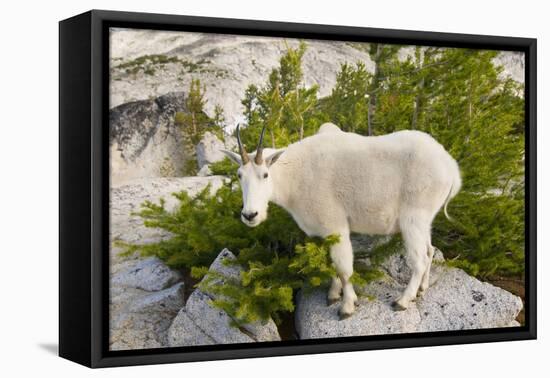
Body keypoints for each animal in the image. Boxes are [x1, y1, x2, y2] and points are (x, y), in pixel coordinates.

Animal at [222, 123, 464, 318]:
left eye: (265, 174)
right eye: (239, 175)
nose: (250, 215)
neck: (294, 176)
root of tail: (451, 168)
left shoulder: (335, 224)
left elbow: (344, 268)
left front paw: (347, 307)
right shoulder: (326, 231)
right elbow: (332, 265)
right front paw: (333, 294)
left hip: (413, 218)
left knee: (419, 259)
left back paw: (403, 301)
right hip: (425, 220)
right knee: (430, 250)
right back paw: (422, 289)